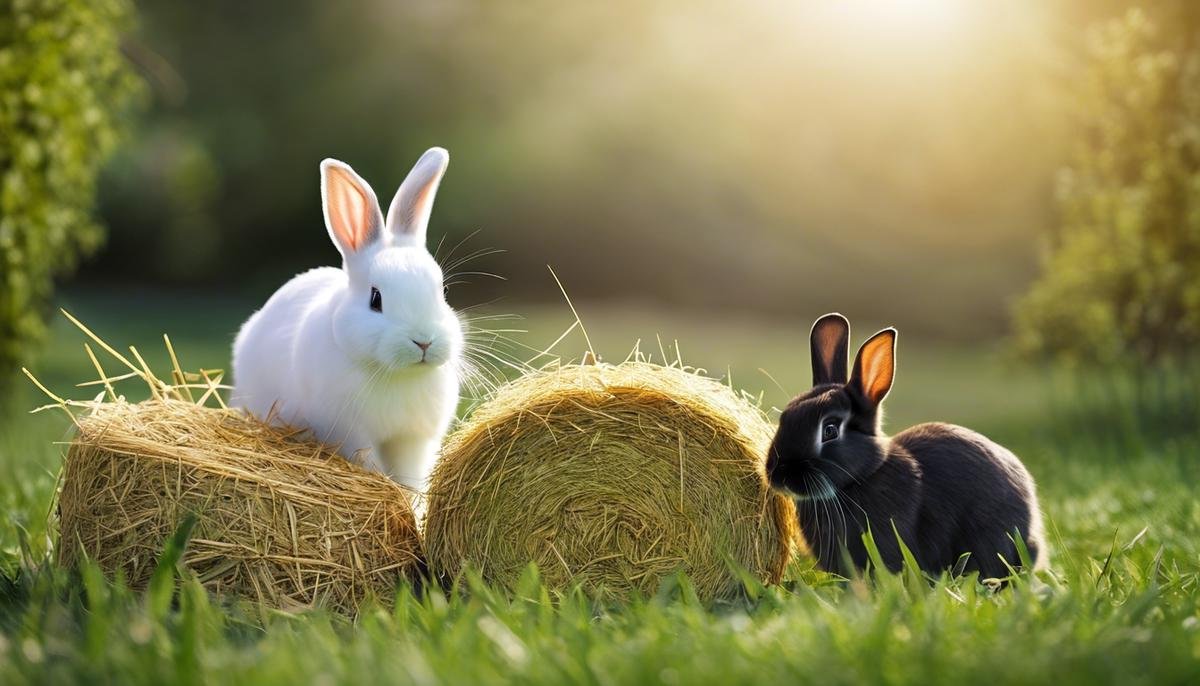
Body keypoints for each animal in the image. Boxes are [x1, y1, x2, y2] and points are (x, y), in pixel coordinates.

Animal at [231, 147, 460, 489]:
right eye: (375, 299)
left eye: (443, 291)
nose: (423, 342)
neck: (395, 374)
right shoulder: (352, 434)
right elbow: (371, 465)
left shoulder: (412, 439)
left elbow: (410, 476)